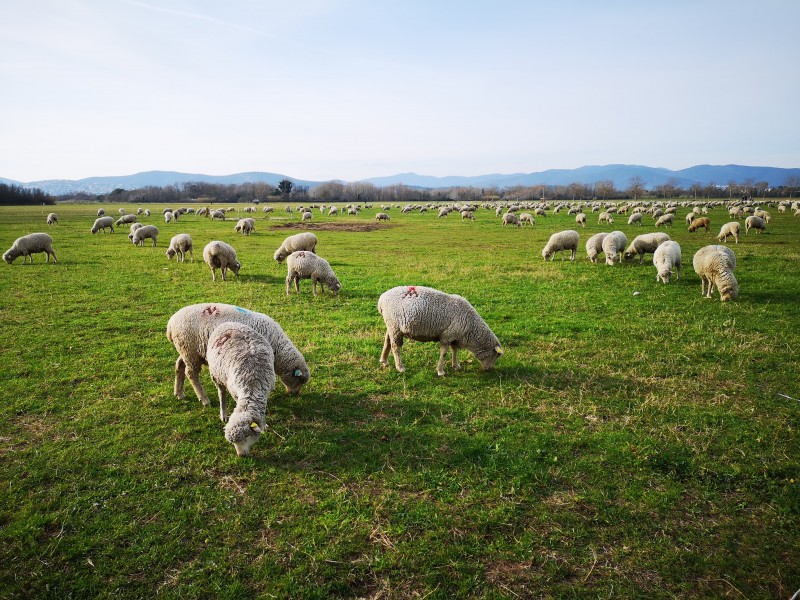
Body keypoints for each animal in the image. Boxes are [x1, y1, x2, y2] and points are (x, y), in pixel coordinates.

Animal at [166, 300, 310, 404]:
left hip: (187, 351)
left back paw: (179, 393)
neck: (277, 349)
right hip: (189, 350)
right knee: (191, 374)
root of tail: (170, 325)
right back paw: (204, 399)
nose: (295, 394)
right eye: (300, 380)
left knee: (179, 365)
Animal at [206, 322, 276, 458]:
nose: (241, 455)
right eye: (233, 443)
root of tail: (226, 322)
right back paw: (223, 414)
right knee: (222, 394)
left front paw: (264, 426)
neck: (252, 386)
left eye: (247, 436)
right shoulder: (236, 393)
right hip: (217, 376)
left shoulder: (266, 391)